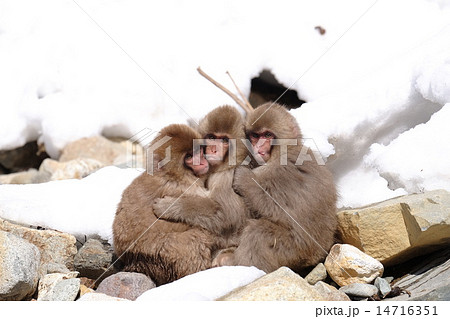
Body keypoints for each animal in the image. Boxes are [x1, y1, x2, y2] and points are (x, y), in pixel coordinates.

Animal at [110, 124, 220, 286]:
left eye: (198, 151)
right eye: (189, 157)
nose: (202, 162)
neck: (169, 174)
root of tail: (137, 261)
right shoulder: (188, 189)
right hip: (167, 256)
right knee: (196, 236)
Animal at [214, 103, 338, 276]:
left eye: (267, 135)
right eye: (255, 136)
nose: (258, 147)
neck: (285, 150)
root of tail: (318, 255)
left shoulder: (278, 172)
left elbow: (273, 208)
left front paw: (245, 179)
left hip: (292, 251)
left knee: (258, 231)